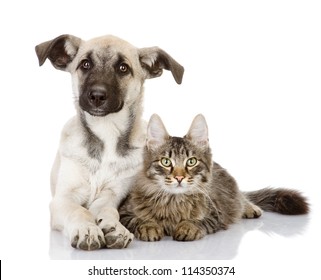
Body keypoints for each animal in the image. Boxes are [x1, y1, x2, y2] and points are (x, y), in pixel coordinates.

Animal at [35, 34, 184, 250]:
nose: (97, 96)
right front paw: (87, 229)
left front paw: (114, 227)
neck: (106, 131)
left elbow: (108, 211)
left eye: (123, 68)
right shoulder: (62, 199)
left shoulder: (111, 196)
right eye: (85, 64)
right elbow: (79, 210)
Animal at [119, 115, 308, 242]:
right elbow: (137, 220)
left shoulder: (215, 214)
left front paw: (187, 227)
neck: (174, 202)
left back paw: (250, 208)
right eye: (166, 162)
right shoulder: (124, 212)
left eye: (191, 161)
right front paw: (149, 227)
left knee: (241, 197)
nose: (179, 177)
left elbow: (199, 222)